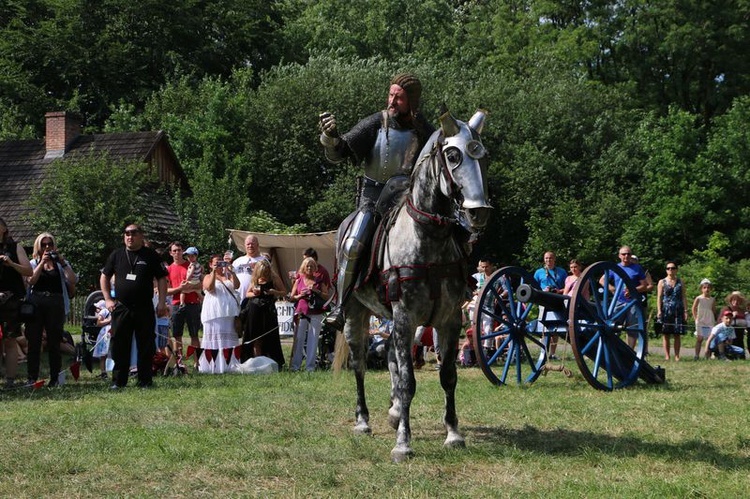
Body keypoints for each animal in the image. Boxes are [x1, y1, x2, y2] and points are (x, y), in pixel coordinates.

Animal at [340, 111, 494, 462]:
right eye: (453, 155)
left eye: (483, 156)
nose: (479, 212)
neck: (427, 238)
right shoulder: (404, 316)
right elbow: (408, 381)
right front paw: (403, 443)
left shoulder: (447, 320)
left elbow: (447, 376)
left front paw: (453, 434)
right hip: (356, 314)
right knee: (360, 365)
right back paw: (363, 421)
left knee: (391, 359)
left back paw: (395, 411)